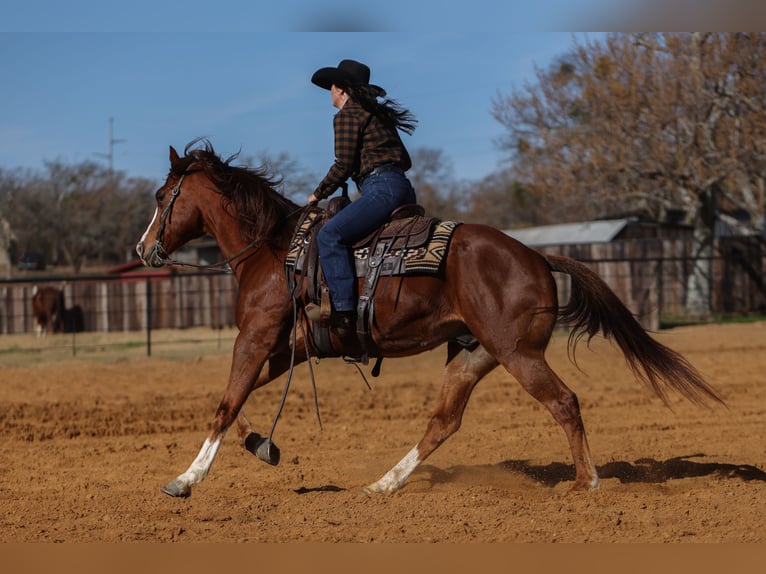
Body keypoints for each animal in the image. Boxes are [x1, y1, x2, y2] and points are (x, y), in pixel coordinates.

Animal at [136, 140, 723, 499]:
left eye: (163, 195)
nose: (143, 248)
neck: (274, 249)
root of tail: (536, 256)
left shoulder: (255, 339)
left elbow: (225, 404)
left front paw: (185, 479)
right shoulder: (282, 349)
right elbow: (235, 405)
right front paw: (262, 445)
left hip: (516, 353)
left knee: (564, 402)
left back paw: (586, 485)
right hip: (472, 355)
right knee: (444, 421)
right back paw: (384, 484)